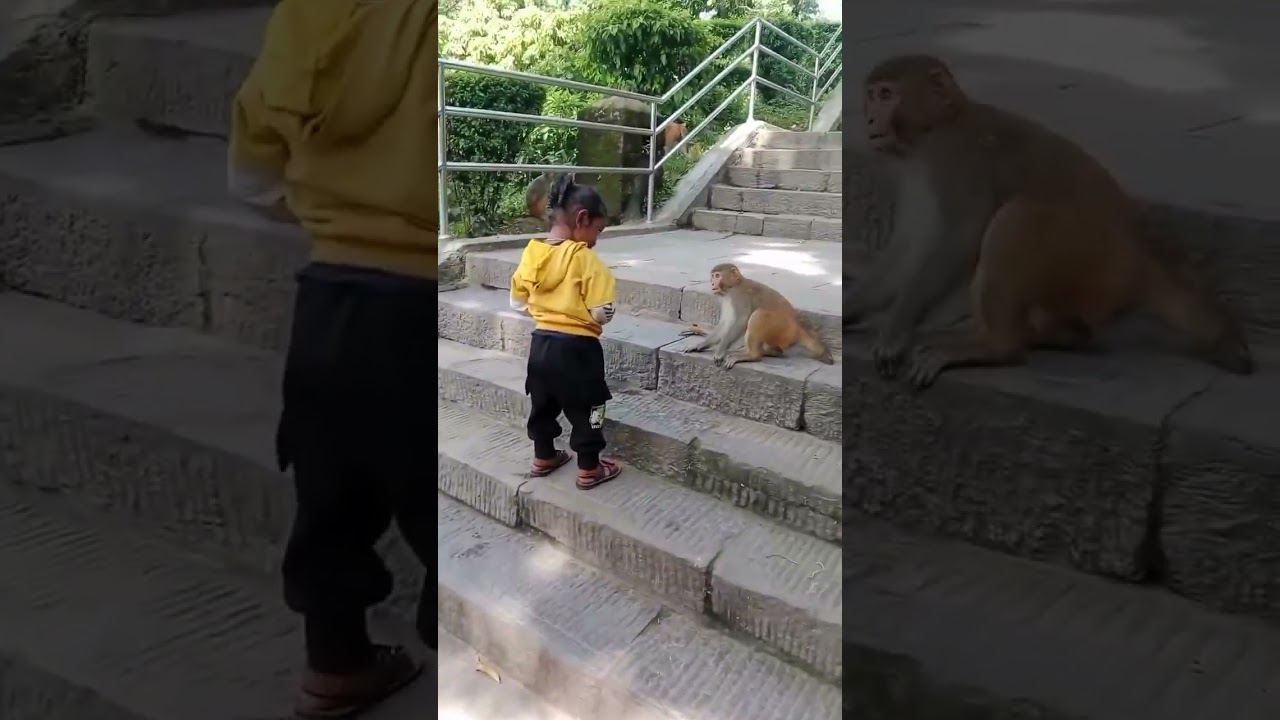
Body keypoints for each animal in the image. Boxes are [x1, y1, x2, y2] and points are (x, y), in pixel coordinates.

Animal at [680, 263, 834, 370]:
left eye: (717, 276)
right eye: (712, 276)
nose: (712, 283)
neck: (733, 285)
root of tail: (797, 325)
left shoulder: (738, 296)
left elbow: (741, 320)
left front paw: (719, 351)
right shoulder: (726, 299)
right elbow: (725, 323)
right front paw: (701, 345)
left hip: (781, 328)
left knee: (759, 315)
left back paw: (752, 355)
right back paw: (770, 352)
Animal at [844, 54, 1253, 389]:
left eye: (886, 95)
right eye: (871, 95)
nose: (869, 118)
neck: (940, 123)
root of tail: (1138, 259)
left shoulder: (954, 157)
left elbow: (959, 235)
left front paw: (896, 329)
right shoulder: (913, 169)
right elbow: (910, 245)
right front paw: (851, 309)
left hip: (1090, 259)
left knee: (1018, 217)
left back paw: (998, 346)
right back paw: (1061, 335)